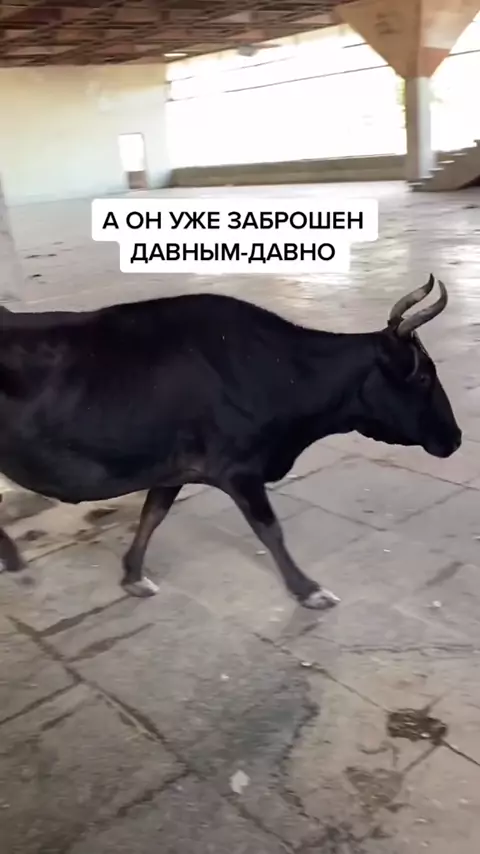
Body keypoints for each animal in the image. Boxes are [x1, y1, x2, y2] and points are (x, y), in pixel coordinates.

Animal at [0, 273, 461, 610]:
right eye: (424, 376)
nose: (455, 438)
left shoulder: (173, 468)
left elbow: (152, 515)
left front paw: (133, 576)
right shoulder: (237, 468)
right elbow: (270, 529)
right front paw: (308, 589)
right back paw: (19, 567)